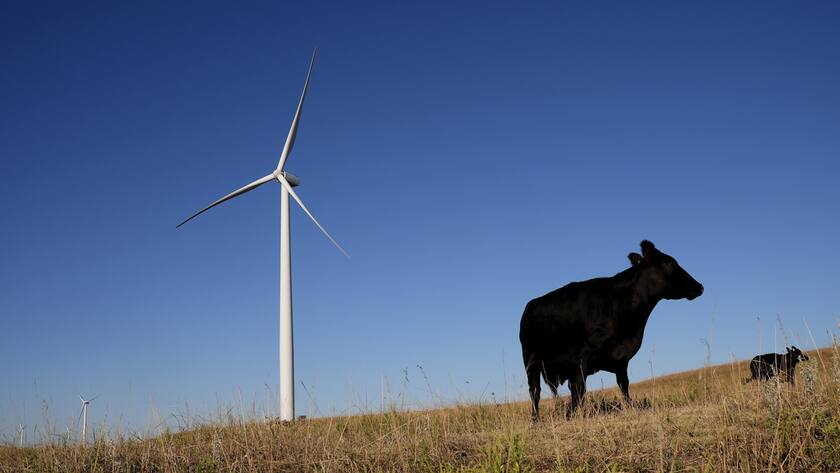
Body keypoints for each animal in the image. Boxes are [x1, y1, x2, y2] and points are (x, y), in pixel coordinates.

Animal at [519, 240, 703, 420]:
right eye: (671, 262)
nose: (700, 286)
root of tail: (531, 304)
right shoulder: (581, 360)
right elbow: (579, 390)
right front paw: (572, 416)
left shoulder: (621, 361)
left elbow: (624, 386)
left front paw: (630, 408)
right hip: (531, 362)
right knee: (534, 391)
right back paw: (535, 419)